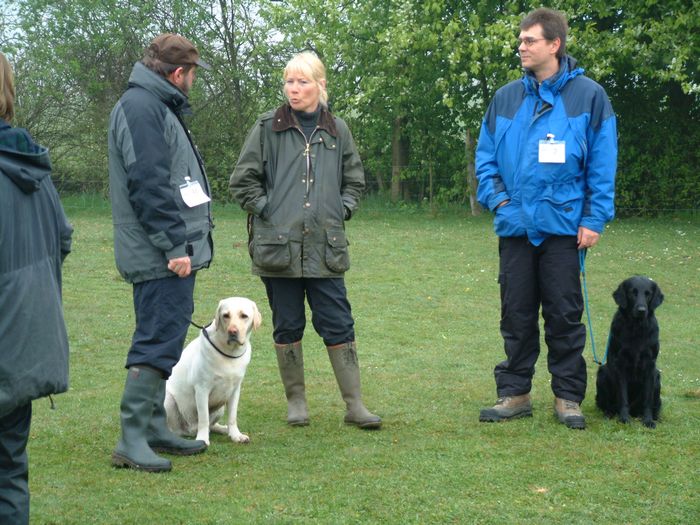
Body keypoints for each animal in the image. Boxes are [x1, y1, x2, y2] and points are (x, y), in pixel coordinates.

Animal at [165, 297, 261, 445]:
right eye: (225, 315)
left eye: (244, 316)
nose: (232, 332)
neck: (230, 353)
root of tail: (190, 430)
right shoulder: (202, 389)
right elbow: (204, 418)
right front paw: (203, 439)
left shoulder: (235, 390)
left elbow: (232, 416)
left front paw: (236, 435)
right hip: (168, 399)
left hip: (220, 407)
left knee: (212, 425)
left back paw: (224, 429)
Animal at [596, 276, 664, 428]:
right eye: (633, 293)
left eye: (648, 294)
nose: (641, 310)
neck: (636, 328)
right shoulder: (620, 365)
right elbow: (623, 396)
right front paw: (624, 418)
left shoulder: (650, 366)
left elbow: (647, 400)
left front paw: (648, 420)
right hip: (603, 373)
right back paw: (609, 413)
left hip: (657, 377)